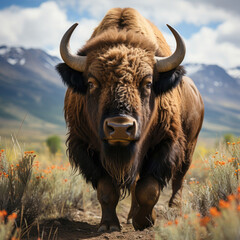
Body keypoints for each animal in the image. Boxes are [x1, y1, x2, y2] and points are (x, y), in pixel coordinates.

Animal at [56, 7, 204, 232]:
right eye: (91, 83)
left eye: (148, 83)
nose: (119, 127)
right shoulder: (84, 147)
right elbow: (107, 190)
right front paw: (109, 225)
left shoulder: (166, 144)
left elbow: (149, 189)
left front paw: (145, 221)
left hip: (189, 145)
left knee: (179, 177)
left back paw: (175, 209)